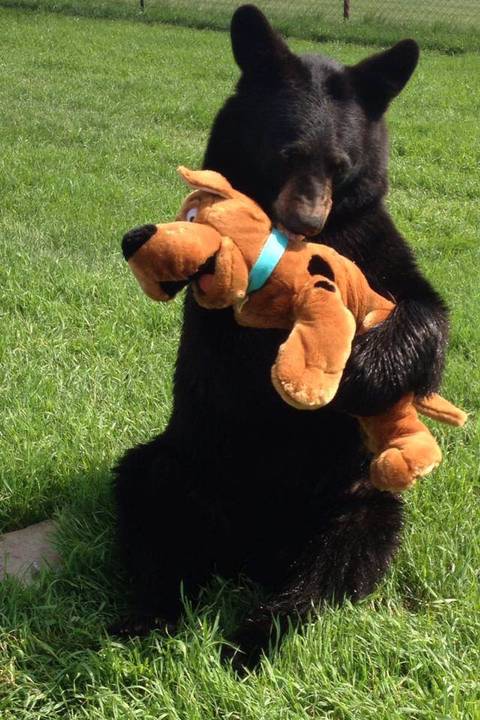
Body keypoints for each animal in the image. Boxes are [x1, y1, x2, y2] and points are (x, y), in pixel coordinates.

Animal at [113, 7, 450, 668]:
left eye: (341, 163)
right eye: (285, 151)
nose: (307, 221)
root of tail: (254, 555)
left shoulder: (372, 240)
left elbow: (426, 308)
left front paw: (361, 370)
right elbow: (231, 336)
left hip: (357, 500)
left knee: (338, 564)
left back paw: (256, 635)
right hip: (182, 462)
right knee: (153, 513)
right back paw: (151, 619)